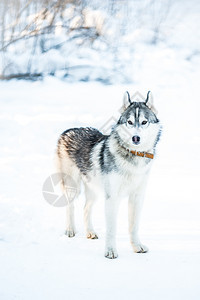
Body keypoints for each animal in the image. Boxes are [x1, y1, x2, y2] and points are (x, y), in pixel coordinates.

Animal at [55, 91, 161, 258]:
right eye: (130, 122)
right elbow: (112, 229)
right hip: (73, 187)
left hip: (93, 190)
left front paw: (137, 246)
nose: (135, 138)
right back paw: (70, 230)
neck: (132, 157)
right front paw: (110, 251)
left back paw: (90, 232)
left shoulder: (137, 197)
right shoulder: (112, 198)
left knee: (86, 208)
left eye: (144, 122)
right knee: (70, 207)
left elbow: (134, 226)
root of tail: (68, 130)